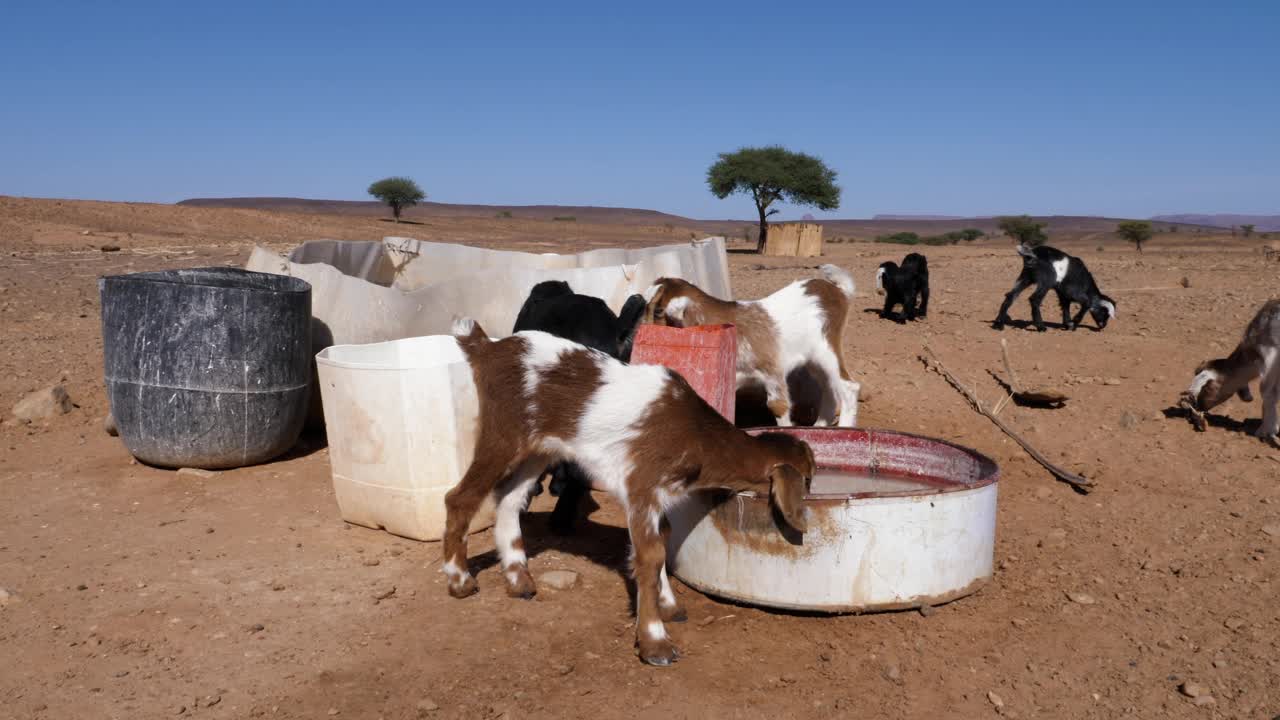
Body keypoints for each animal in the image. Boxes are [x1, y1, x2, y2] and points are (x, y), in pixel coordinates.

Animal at [445, 316, 814, 666]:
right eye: (808, 479)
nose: (809, 504)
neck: (697, 435)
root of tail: (487, 348)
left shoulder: (658, 497)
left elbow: (664, 537)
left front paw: (668, 605)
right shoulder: (641, 485)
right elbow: (650, 555)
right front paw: (655, 642)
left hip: (541, 448)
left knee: (509, 499)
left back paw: (518, 579)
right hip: (504, 434)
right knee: (460, 497)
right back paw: (460, 581)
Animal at [640, 263, 860, 425]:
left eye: (658, 311)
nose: (641, 331)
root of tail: (837, 289)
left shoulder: (773, 370)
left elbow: (779, 406)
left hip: (826, 348)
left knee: (848, 387)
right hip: (813, 359)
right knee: (829, 387)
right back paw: (820, 426)